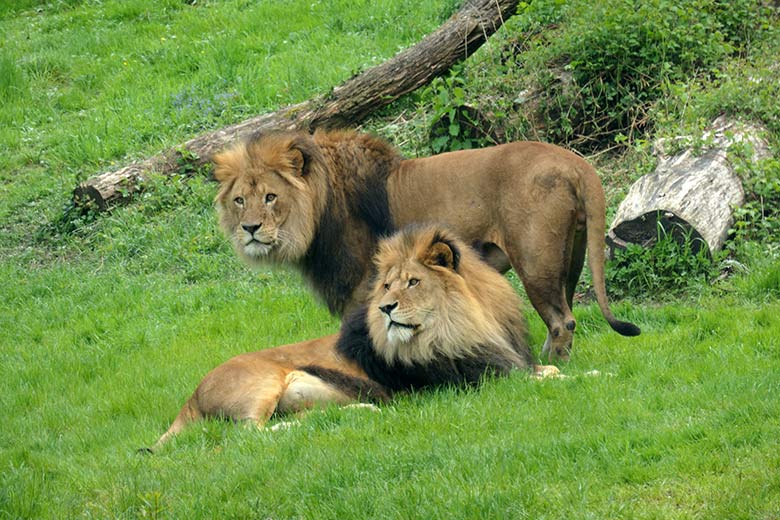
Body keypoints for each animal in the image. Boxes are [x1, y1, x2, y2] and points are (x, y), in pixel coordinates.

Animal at [145, 225, 556, 452]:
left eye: (413, 282)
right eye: (387, 286)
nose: (386, 308)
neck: (462, 325)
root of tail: (193, 394)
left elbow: (547, 369)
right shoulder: (470, 381)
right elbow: (550, 377)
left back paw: (359, 412)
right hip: (261, 385)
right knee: (247, 435)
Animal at [212, 129, 640, 362]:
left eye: (270, 197)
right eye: (240, 200)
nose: (249, 229)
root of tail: (575, 162)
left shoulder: (363, 285)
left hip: (536, 261)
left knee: (561, 320)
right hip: (571, 255)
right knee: (566, 315)